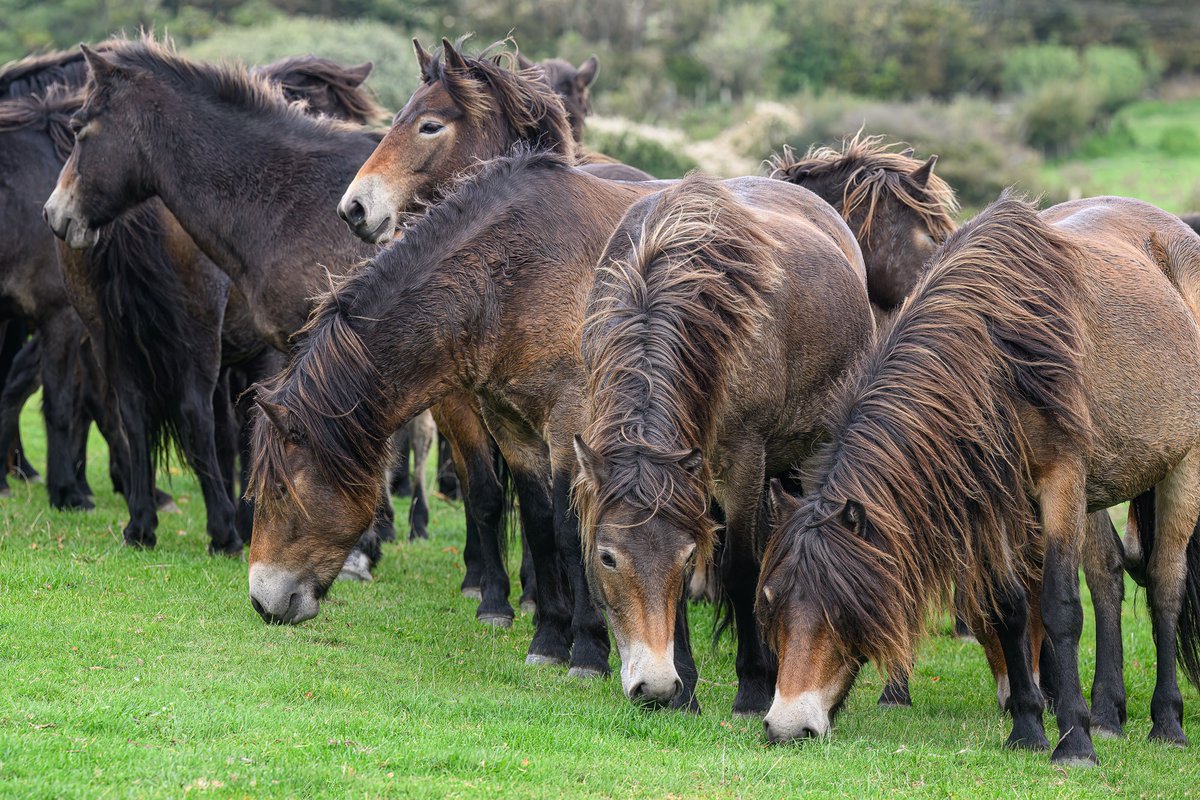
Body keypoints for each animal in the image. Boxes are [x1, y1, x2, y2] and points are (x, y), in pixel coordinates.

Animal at [572, 174, 873, 711]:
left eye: (685, 558)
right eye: (607, 556)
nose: (653, 686)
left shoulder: (743, 462)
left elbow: (742, 570)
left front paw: (753, 686)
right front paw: (684, 690)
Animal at [756, 192, 1200, 765]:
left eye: (843, 606)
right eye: (772, 601)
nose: (786, 725)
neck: (997, 359)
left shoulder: (1061, 483)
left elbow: (1059, 608)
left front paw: (1073, 741)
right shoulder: (996, 504)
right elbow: (1009, 607)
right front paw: (1029, 729)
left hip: (1181, 470)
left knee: (1165, 585)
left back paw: (1166, 720)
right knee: (1106, 580)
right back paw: (1107, 714)